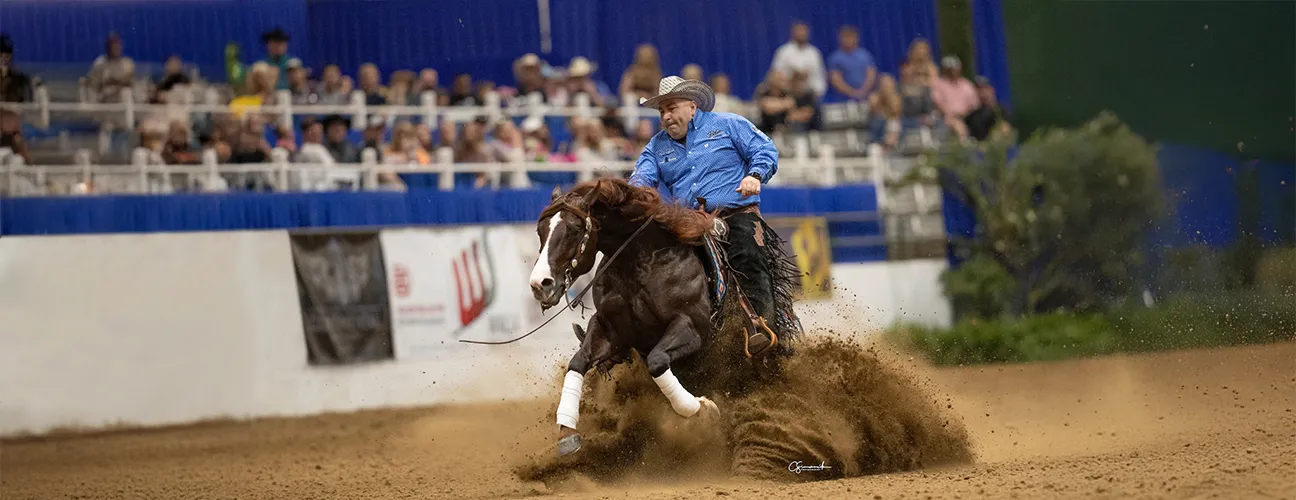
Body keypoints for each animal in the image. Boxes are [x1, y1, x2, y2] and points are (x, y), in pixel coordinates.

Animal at [527, 177, 803, 457]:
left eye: (573, 230)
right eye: (540, 231)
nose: (540, 284)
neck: (642, 262)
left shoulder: (691, 328)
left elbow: (658, 362)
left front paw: (702, 410)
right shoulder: (610, 330)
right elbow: (578, 362)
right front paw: (567, 431)